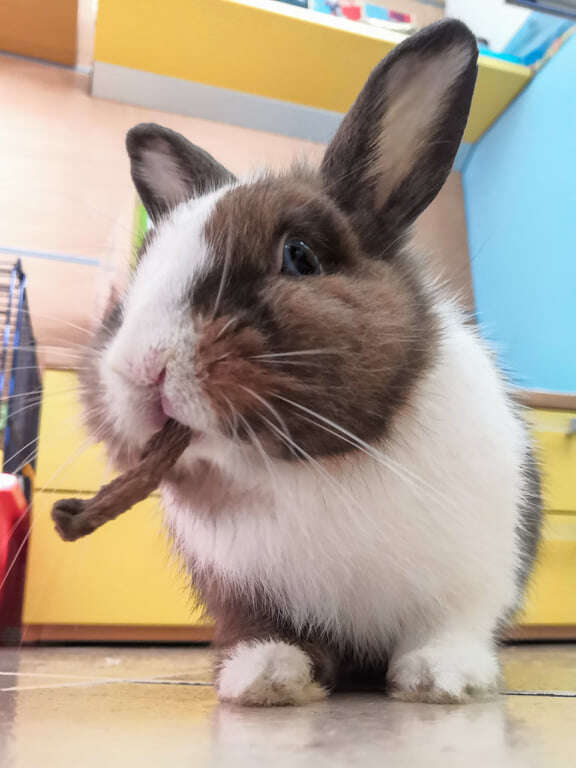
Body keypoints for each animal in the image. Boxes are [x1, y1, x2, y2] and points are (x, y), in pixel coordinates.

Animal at [82, 18, 540, 704]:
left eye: (300, 256)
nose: (142, 369)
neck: (312, 465)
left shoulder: (472, 576)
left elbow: (448, 625)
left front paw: (442, 677)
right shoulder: (244, 591)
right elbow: (269, 630)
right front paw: (265, 677)